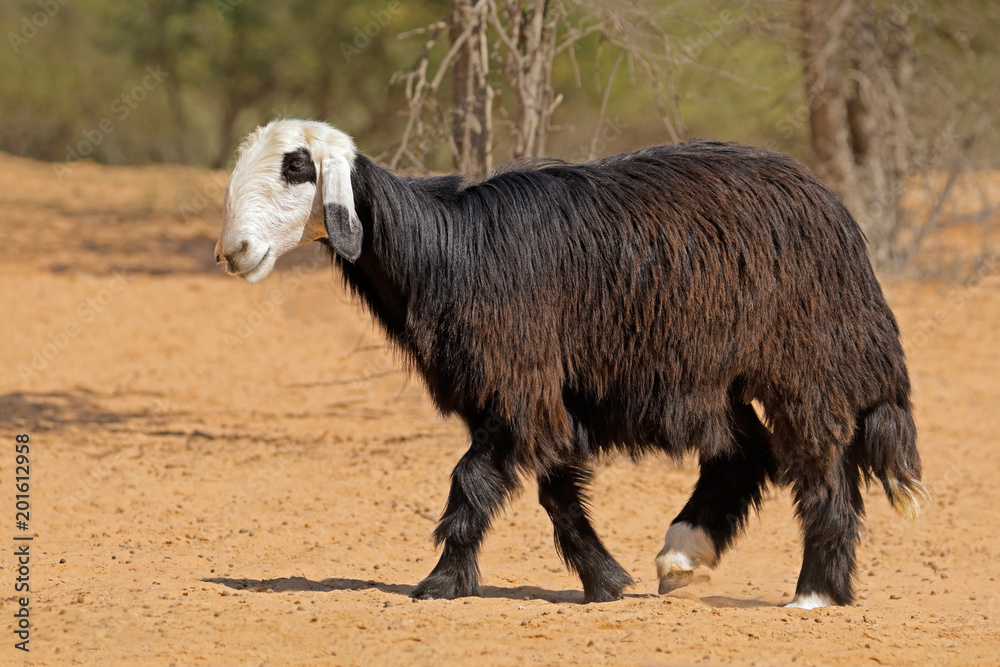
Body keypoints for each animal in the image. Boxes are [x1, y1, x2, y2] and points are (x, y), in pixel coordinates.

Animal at [215, 118, 929, 607]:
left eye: (297, 168)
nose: (233, 251)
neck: (449, 250)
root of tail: (833, 211)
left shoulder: (519, 383)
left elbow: (473, 482)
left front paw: (440, 583)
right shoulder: (530, 392)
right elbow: (554, 488)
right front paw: (605, 581)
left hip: (805, 363)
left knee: (819, 462)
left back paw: (814, 593)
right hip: (717, 375)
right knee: (743, 452)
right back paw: (682, 557)